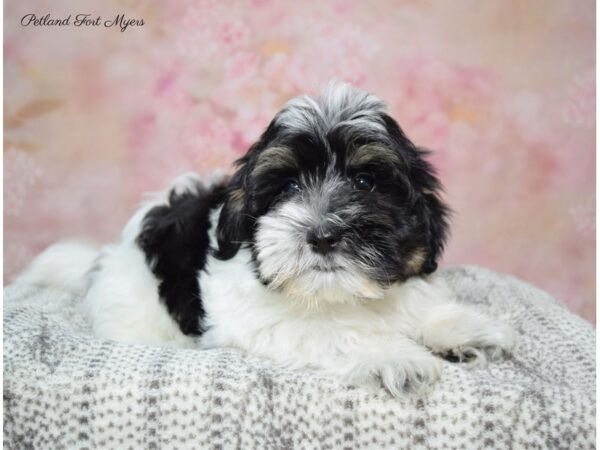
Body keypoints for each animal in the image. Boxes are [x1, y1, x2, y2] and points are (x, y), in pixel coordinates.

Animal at [21, 82, 512, 396]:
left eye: (366, 182)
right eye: (289, 187)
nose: (323, 234)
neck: (338, 296)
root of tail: (107, 258)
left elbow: (418, 306)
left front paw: (460, 329)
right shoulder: (260, 320)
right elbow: (332, 334)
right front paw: (393, 356)